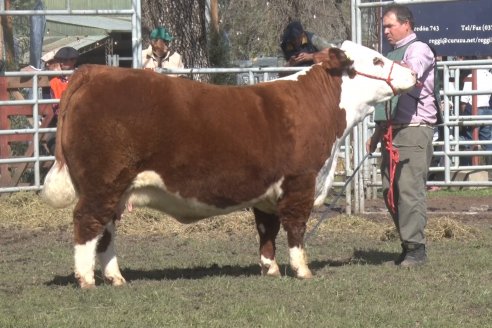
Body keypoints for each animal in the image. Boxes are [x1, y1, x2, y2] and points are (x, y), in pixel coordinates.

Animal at [41, 41, 416, 290]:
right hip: (103, 181)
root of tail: (94, 71)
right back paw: (86, 279)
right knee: (87, 223)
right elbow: (296, 228)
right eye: (377, 60)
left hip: (116, 188)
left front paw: (269, 268)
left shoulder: (268, 192)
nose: (413, 73)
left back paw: (115, 277)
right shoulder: (300, 181)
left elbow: (267, 230)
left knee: (105, 230)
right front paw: (302, 270)